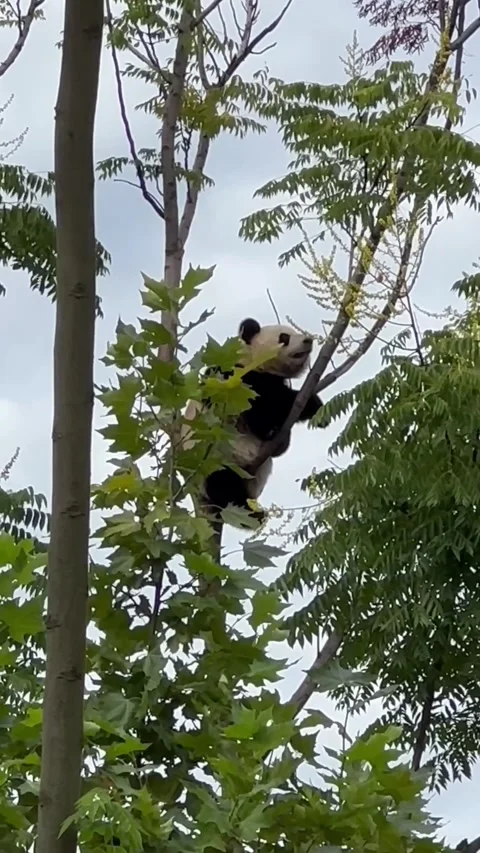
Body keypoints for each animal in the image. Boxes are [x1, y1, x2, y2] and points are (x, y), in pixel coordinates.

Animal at [182, 317, 323, 526]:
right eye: (284, 337)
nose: (308, 340)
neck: (252, 359)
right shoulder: (236, 378)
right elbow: (266, 406)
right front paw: (312, 404)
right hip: (211, 458)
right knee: (224, 486)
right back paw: (251, 515)